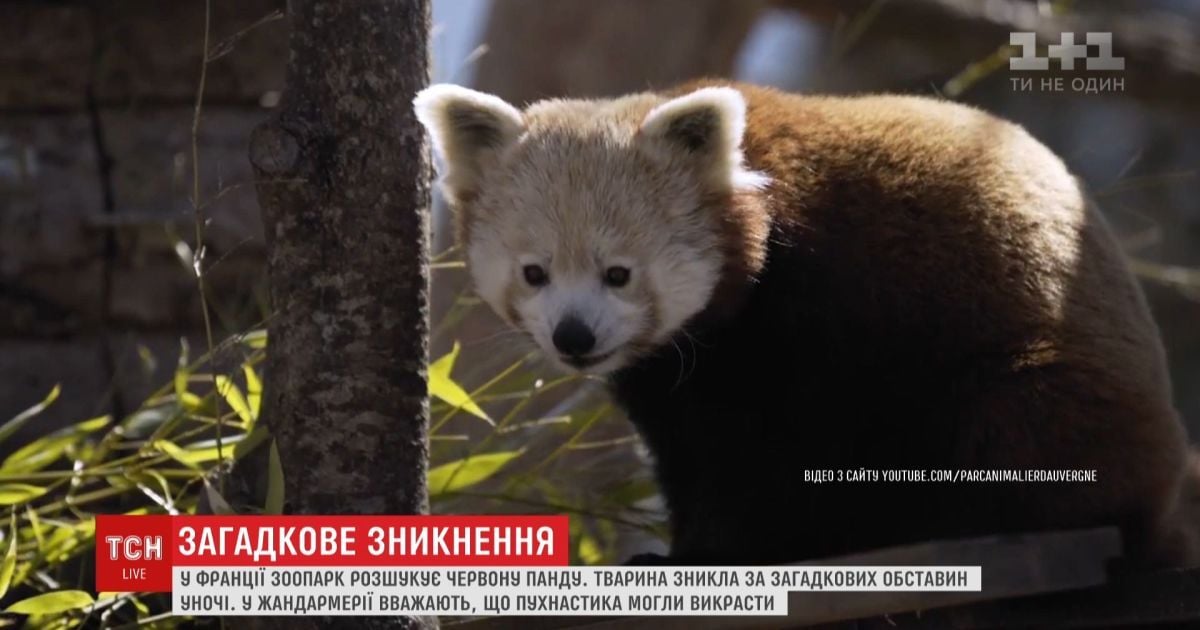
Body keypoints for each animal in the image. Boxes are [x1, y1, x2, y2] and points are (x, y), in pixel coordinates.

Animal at [415, 77, 1200, 564]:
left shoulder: (823, 310)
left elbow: (782, 456)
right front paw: (679, 546)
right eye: (534, 273)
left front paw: (718, 550)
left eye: (619, 274)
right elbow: (692, 452)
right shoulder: (676, 375)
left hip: (1050, 384)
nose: (575, 337)